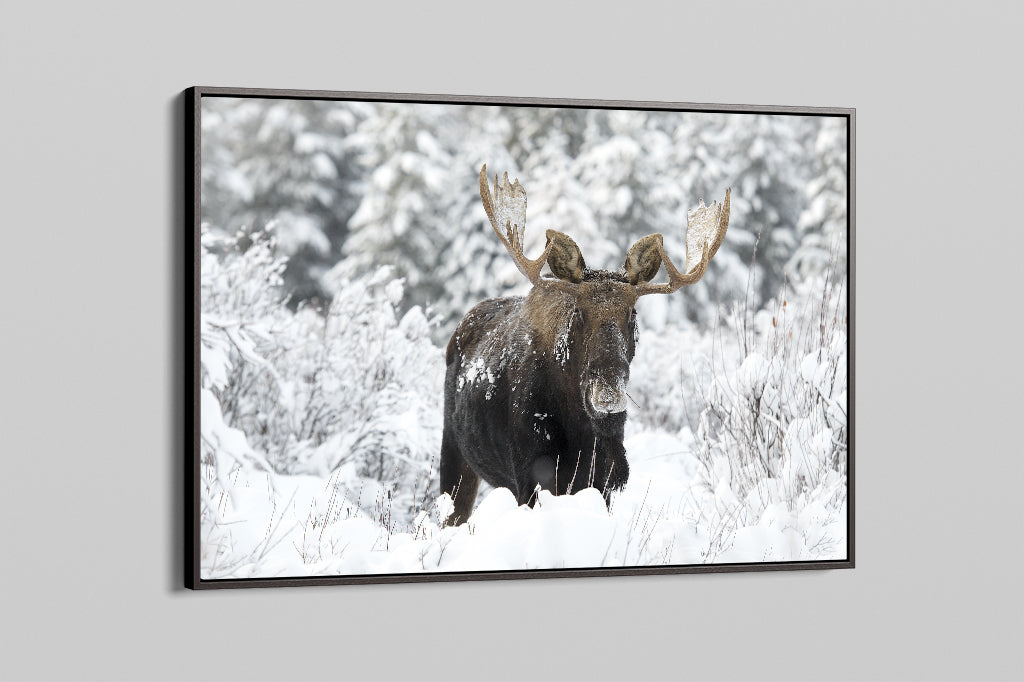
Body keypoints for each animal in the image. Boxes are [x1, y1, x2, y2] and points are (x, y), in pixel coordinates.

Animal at [439, 165, 730, 525]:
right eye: (578, 312)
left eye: (632, 313)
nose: (607, 392)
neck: (582, 430)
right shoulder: (529, 475)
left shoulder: (604, 479)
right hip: (454, 454)